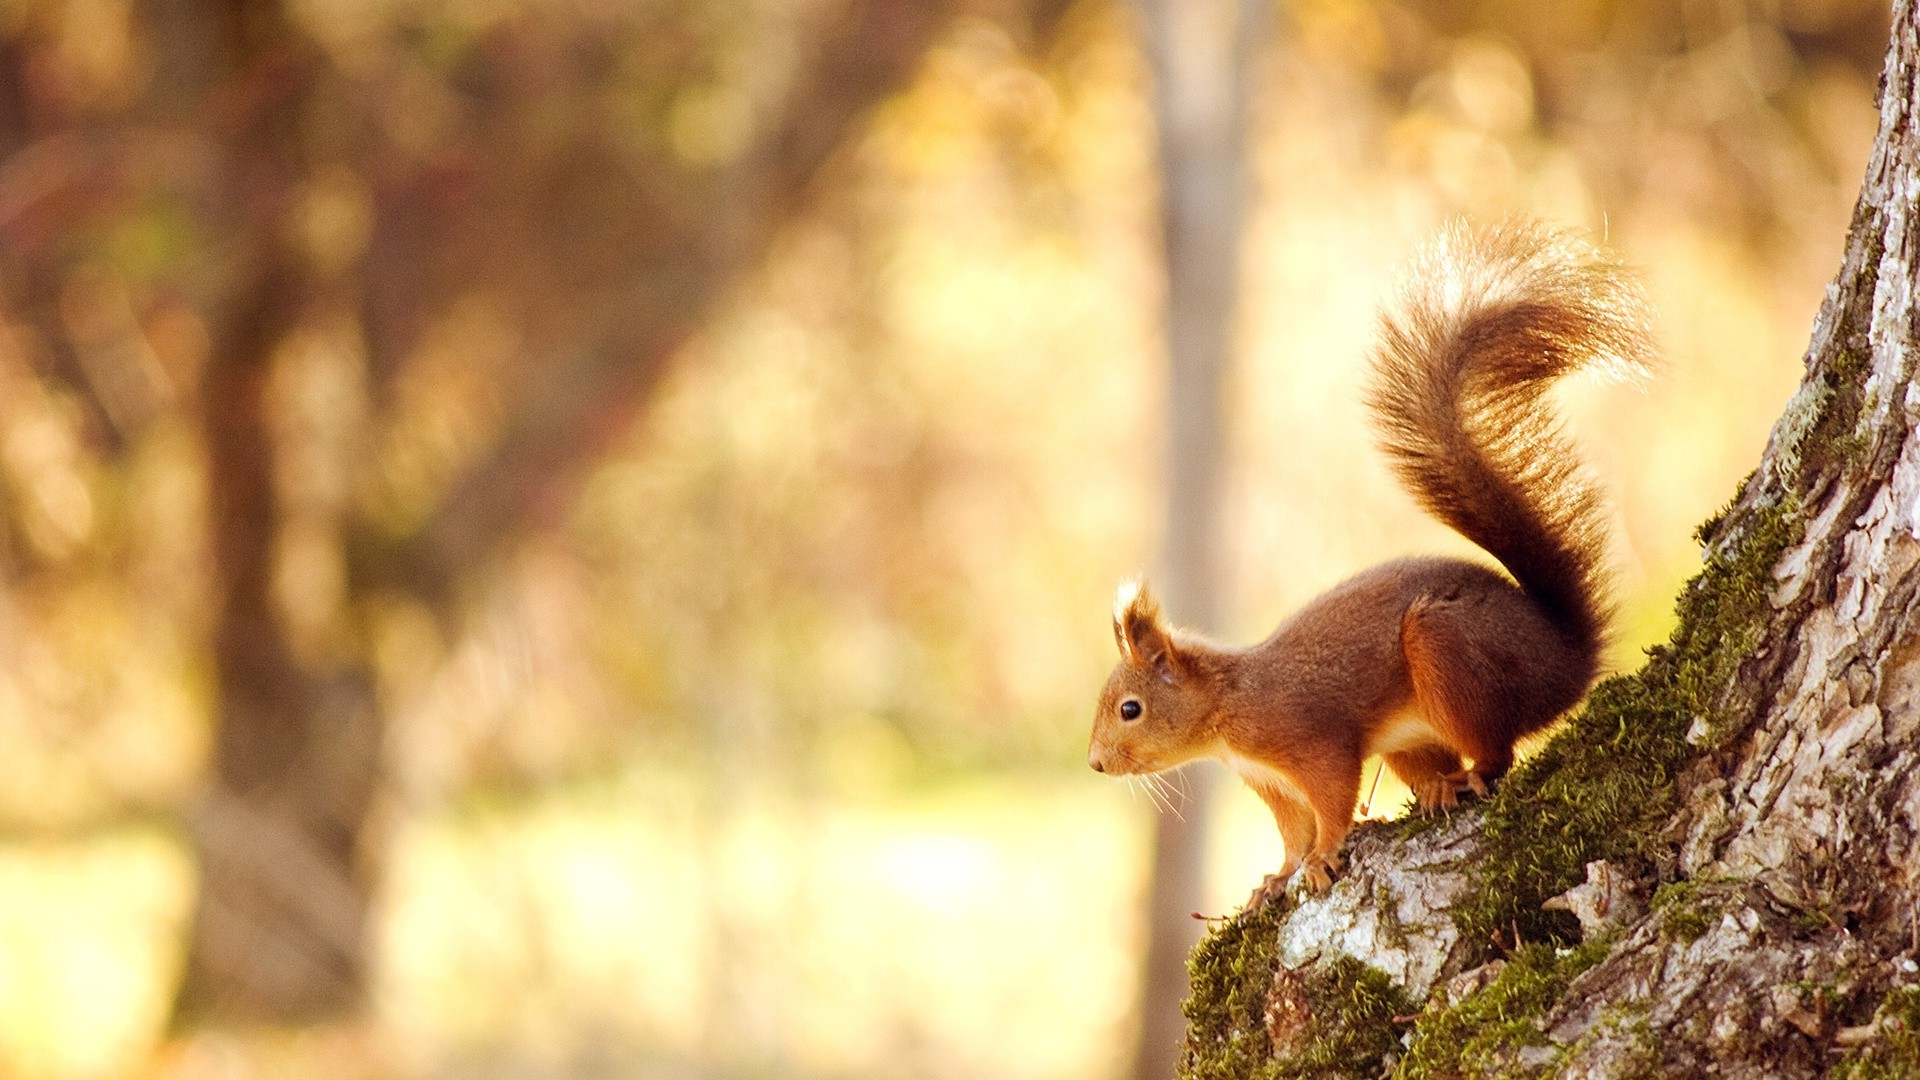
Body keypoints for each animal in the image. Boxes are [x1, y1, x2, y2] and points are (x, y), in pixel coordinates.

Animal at [1086, 219, 1652, 904]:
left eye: (1130, 709)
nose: (1095, 763)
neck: (1227, 707)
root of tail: (1568, 658)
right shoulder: (1270, 781)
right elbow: (1291, 830)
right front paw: (1276, 879)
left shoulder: (1308, 740)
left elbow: (1331, 800)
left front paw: (1324, 857)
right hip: (1412, 734)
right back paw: (1436, 786)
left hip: (1447, 652)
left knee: (1497, 755)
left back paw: (1465, 779)